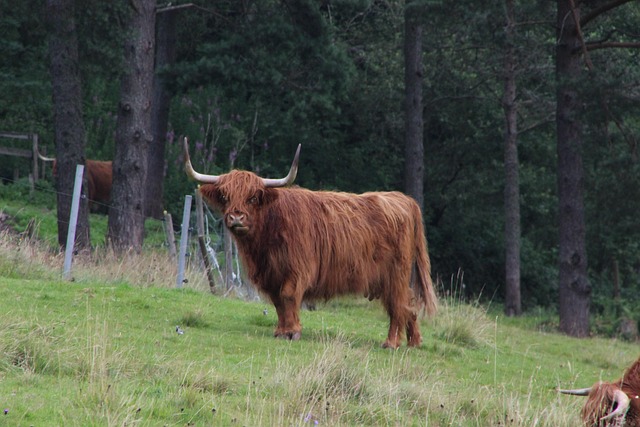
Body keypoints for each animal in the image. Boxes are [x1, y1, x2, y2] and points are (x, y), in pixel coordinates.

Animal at [183, 137, 437, 348]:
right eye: (225, 197)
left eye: (253, 197)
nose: (236, 218)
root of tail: (403, 199)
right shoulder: (271, 275)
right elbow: (277, 301)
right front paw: (280, 331)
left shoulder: (298, 269)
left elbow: (288, 296)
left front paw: (293, 331)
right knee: (407, 304)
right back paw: (414, 341)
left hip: (396, 274)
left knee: (398, 305)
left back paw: (391, 343)